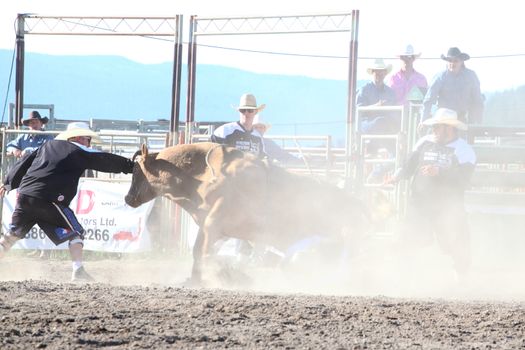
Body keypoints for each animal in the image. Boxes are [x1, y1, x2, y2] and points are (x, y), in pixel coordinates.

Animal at [125, 142, 366, 284]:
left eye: (136, 170)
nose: (128, 198)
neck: (203, 175)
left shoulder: (218, 216)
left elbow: (205, 251)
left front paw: (223, 275)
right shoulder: (207, 223)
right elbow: (198, 251)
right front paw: (195, 279)